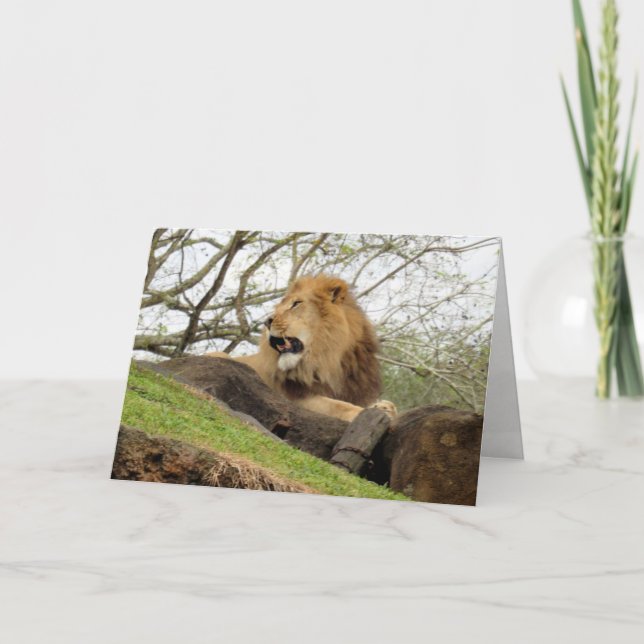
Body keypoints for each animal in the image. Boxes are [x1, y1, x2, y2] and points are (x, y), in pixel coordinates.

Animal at [207, 274, 396, 422]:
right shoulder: (294, 398)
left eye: (296, 304)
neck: (329, 361)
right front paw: (371, 412)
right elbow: (337, 406)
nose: (267, 322)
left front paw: (385, 407)